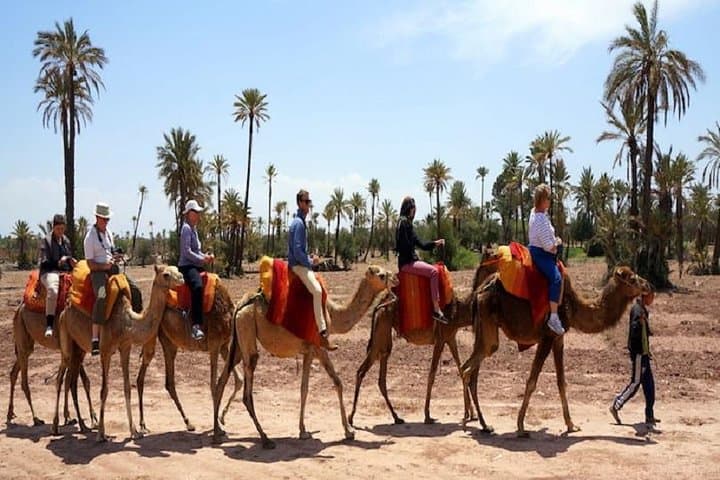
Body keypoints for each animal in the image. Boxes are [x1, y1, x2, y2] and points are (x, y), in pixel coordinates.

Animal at [52, 264, 185, 441]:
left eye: (176, 269)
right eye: (166, 274)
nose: (182, 278)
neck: (127, 323)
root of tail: (64, 311)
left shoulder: (125, 347)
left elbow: (127, 387)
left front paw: (134, 431)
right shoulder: (105, 350)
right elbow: (104, 390)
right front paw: (101, 434)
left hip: (78, 349)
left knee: (70, 380)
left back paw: (82, 425)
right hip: (66, 339)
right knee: (60, 378)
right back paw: (55, 426)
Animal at [212, 265, 394, 449]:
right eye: (381, 275)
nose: (395, 278)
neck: (331, 313)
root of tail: (240, 305)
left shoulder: (308, 351)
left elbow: (310, 387)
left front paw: (305, 430)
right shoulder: (318, 347)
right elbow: (330, 383)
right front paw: (348, 431)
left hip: (238, 341)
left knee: (221, 381)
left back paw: (218, 432)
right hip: (247, 329)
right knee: (247, 387)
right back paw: (265, 438)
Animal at [348, 258, 499, 428]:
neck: (458, 311)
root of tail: (378, 306)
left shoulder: (450, 338)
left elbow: (461, 369)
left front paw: (469, 414)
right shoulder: (440, 339)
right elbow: (432, 374)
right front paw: (427, 415)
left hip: (384, 336)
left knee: (381, 378)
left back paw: (396, 417)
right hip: (381, 332)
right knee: (362, 371)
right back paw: (351, 418)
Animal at [460, 265, 651, 437]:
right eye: (633, 278)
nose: (648, 285)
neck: (572, 306)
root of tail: (479, 292)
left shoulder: (559, 339)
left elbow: (561, 382)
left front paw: (571, 425)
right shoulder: (547, 337)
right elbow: (532, 381)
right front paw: (521, 427)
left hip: (482, 327)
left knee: (469, 370)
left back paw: (483, 425)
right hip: (488, 324)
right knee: (470, 368)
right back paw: (468, 422)